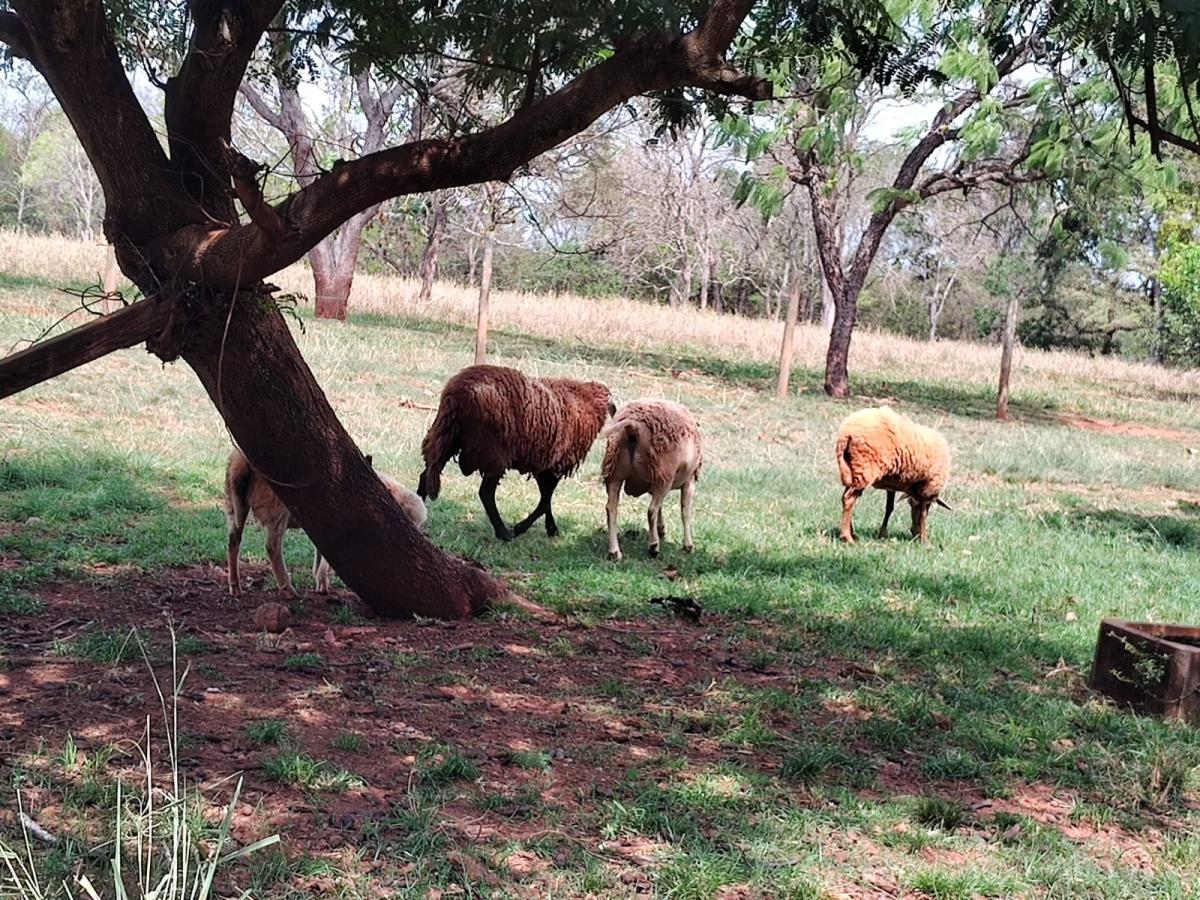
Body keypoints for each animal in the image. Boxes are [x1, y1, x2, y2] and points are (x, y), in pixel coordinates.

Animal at [417, 364, 614, 542]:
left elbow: (545, 499)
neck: (584, 400)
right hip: (493, 451)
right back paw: (503, 533)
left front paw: (551, 528)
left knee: (426, 474)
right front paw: (521, 528)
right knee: (485, 493)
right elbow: (545, 501)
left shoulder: (545, 464)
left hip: (447, 436)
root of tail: (457, 394)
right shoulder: (556, 465)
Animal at [600, 400, 700, 561]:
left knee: (611, 509)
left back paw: (615, 551)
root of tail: (633, 426)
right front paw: (688, 545)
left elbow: (662, 507)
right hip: (663, 475)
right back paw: (653, 546)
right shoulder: (689, 481)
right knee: (651, 510)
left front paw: (662, 529)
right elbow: (685, 511)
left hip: (615, 474)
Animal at [840, 408, 950, 547]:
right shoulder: (928, 487)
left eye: (910, 504)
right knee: (849, 498)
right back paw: (847, 537)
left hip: (852, 469)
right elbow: (923, 515)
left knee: (847, 497)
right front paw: (925, 541)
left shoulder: (892, 486)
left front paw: (882, 534)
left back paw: (852, 533)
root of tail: (846, 432)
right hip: (865, 468)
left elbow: (889, 508)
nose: (914, 533)